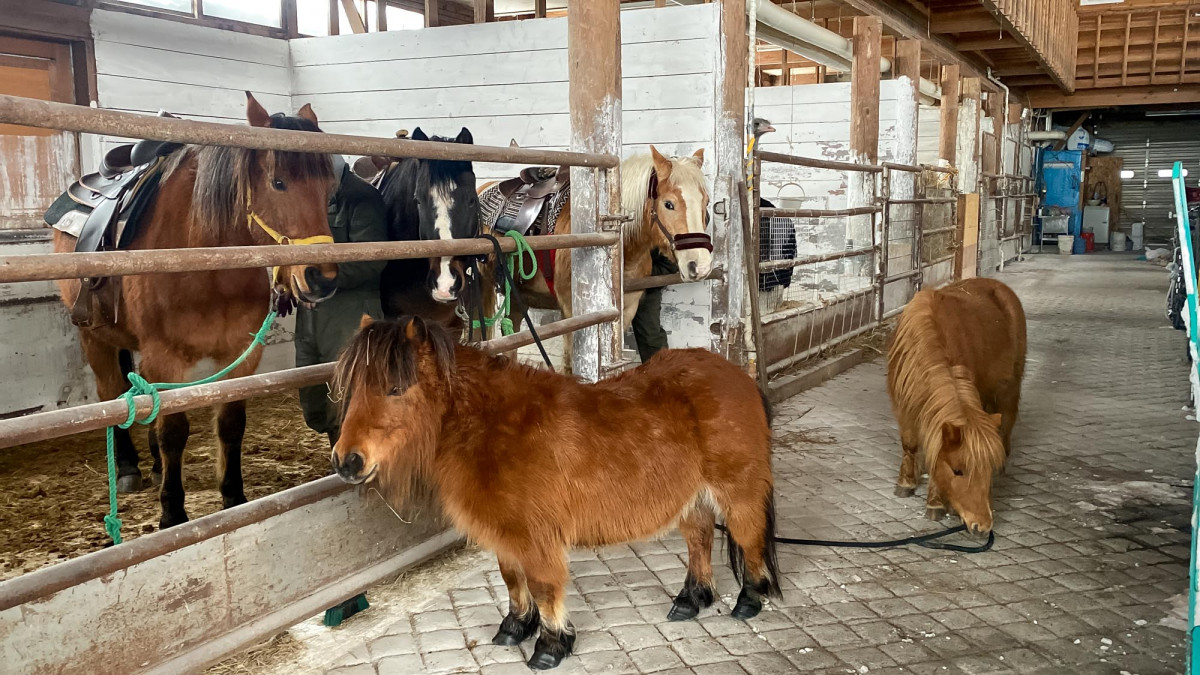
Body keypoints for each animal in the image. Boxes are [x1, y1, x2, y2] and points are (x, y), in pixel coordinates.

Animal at [54, 94, 338, 528]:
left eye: (329, 188)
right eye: (278, 182)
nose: (321, 278)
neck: (206, 257)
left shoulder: (241, 354)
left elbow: (230, 424)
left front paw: (234, 497)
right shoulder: (166, 356)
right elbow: (174, 430)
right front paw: (172, 512)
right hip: (93, 336)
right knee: (111, 394)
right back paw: (129, 469)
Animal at [328, 314, 777, 667]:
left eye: (396, 388)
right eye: (354, 389)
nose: (346, 462)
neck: (493, 427)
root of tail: (737, 374)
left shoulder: (536, 537)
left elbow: (544, 587)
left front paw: (550, 645)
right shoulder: (507, 533)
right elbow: (512, 579)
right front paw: (514, 628)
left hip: (737, 492)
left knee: (749, 537)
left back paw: (749, 600)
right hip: (692, 499)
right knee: (700, 540)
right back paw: (690, 600)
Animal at [477, 144, 710, 365]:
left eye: (706, 203)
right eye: (668, 204)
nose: (700, 265)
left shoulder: (627, 310)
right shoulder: (574, 314)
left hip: (516, 295)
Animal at [888, 276, 1027, 533]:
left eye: (987, 470)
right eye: (957, 471)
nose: (982, 526)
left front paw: (935, 503)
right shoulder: (904, 407)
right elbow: (910, 444)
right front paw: (906, 483)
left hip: (1009, 387)